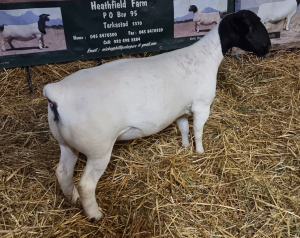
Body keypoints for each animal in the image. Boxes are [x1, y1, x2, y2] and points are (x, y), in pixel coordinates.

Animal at [43, 10, 270, 220]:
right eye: (249, 26)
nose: (267, 47)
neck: (207, 54)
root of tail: (57, 94)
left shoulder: (180, 110)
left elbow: (184, 128)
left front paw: (185, 147)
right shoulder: (202, 106)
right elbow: (198, 130)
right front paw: (199, 152)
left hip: (67, 143)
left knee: (63, 172)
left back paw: (72, 198)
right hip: (98, 148)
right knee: (86, 185)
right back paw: (95, 215)